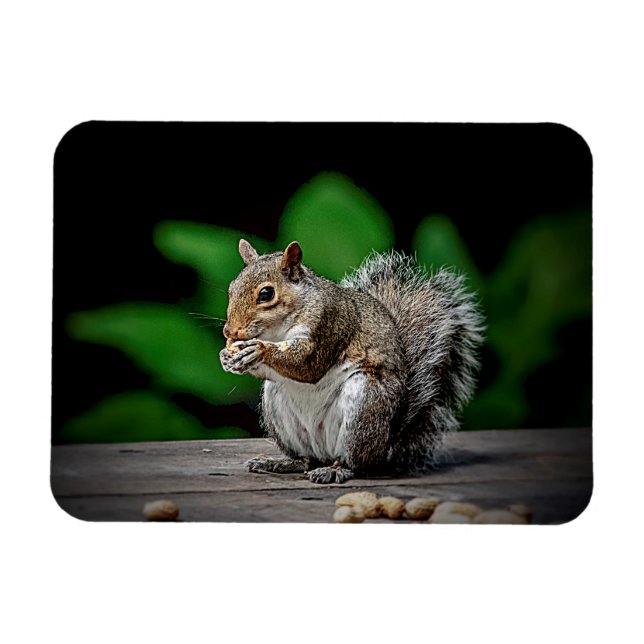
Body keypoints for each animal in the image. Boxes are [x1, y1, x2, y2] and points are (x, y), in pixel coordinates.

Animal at [219, 238, 485, 484]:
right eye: (231, 288)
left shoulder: (329, 324)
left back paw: (335, 470)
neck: (277, 331)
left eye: (266, 294)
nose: (229, 332)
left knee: (355, 463)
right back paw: (281, 463)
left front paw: (258, 350)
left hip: (364, 405)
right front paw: (227, 357)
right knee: (305, 459)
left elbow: (307, 365)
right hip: (277, 404)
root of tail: (386, 445)